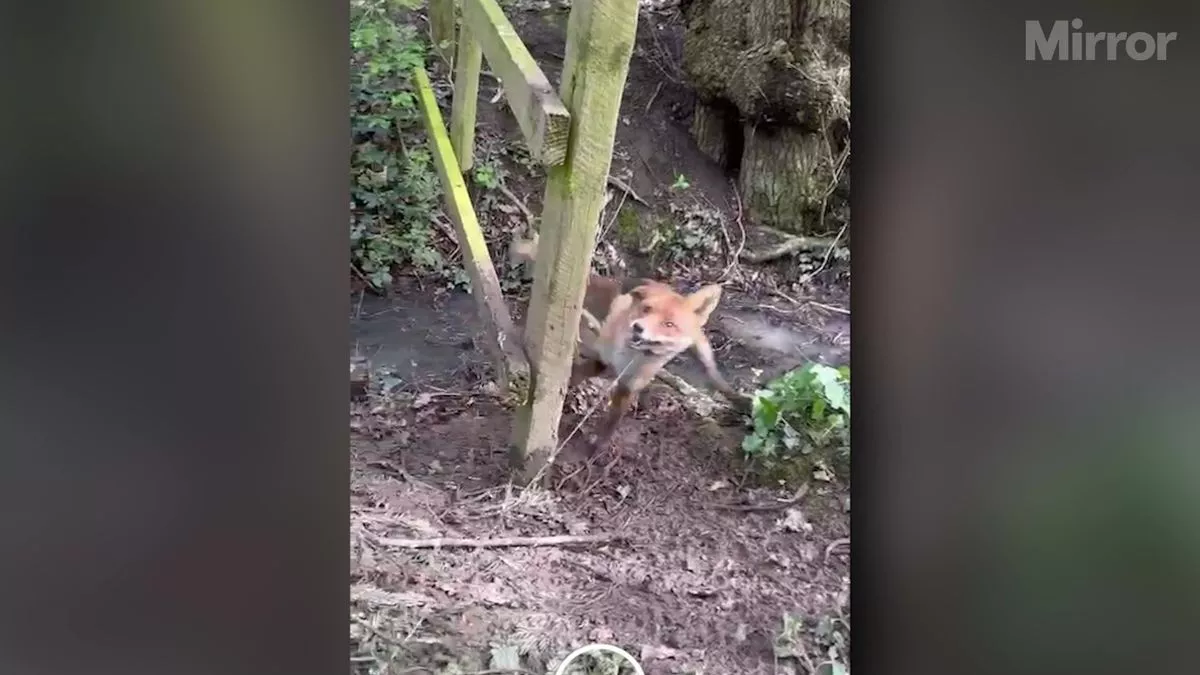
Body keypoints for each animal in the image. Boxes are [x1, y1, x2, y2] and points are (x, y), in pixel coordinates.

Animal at [506, 228, 748, 454]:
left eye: (669, 324)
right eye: (646, 309)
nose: (638, 328)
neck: (630, 358)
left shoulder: (627, 384)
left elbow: (613, 419)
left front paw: (599, 445)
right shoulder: (601, 360)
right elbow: (574, 376)